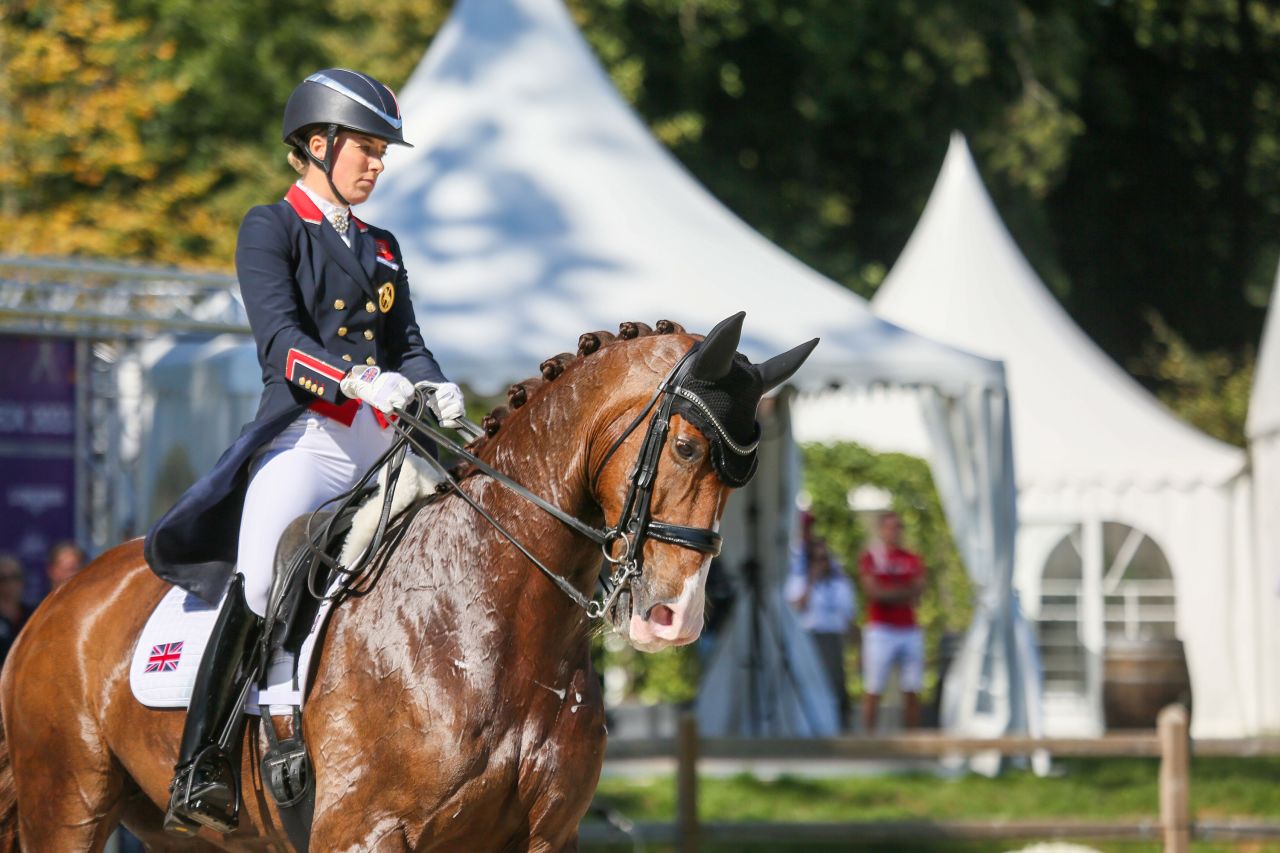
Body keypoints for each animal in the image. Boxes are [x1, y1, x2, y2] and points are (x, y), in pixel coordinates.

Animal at [0, 313, 814, 850]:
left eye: (745, 475)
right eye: (685, 447)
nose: (675, 618)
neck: (491, 623)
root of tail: (55, 603)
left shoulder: (543, 836)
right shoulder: (364, 831)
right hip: (67, 803)